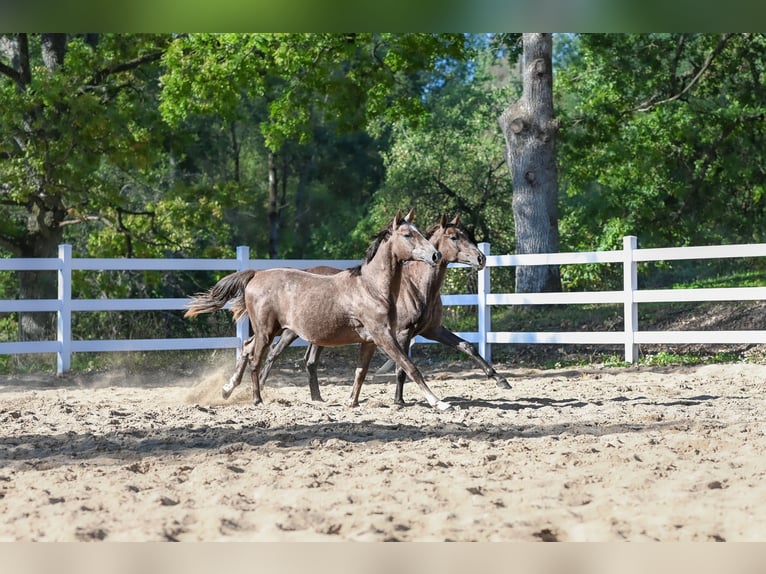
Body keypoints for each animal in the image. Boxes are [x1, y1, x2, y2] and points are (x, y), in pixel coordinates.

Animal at [185, 209, 452, 412]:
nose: (435, 255)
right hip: (267, 331)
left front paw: (351, 402)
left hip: (271, 330)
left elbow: (361, 372)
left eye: (420, 232)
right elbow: (409, 366)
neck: (371, 288)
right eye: (407, 234)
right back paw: (256, 399)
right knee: (255, 358)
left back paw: (227, 389)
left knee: (247, 348)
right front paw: (438, 402)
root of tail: (256, 275)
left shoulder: (369, 341)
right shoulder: (384, 336)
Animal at [254, 214, 516, 408]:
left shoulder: (432, 330)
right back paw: (260, 390)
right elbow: (403, 366)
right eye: (454, 237)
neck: (418, 287)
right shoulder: (402, 333)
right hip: (290, 331)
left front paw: (500, 380)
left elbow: (467, 346)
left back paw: (316, 397)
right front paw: (399, 400)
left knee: (308, 360)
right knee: (272, 352)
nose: (481, 258)